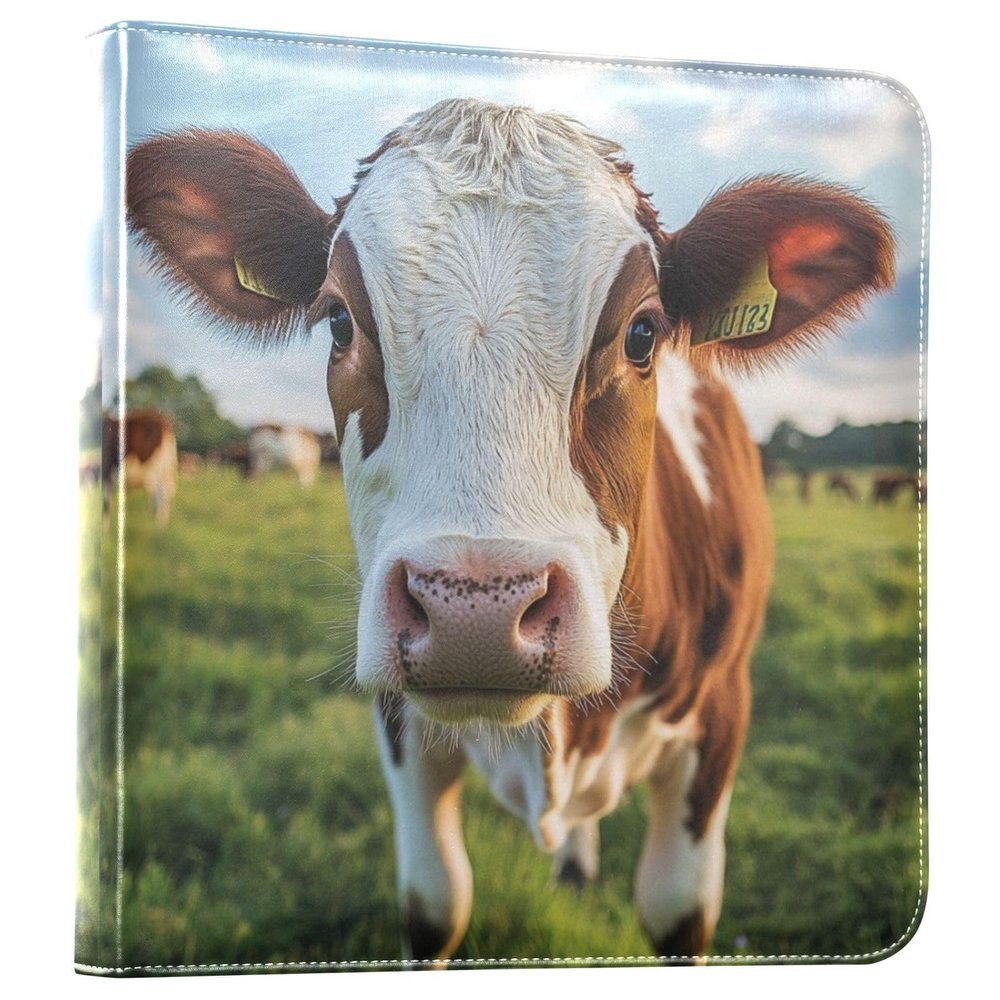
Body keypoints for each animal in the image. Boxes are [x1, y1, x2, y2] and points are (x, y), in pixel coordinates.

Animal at [125, 99, 894, 962]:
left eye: (643, 333)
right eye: (338, 322)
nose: (476, 613)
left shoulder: (723, 715)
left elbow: (676, 911)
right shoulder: (398, 721)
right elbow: (436, 905)